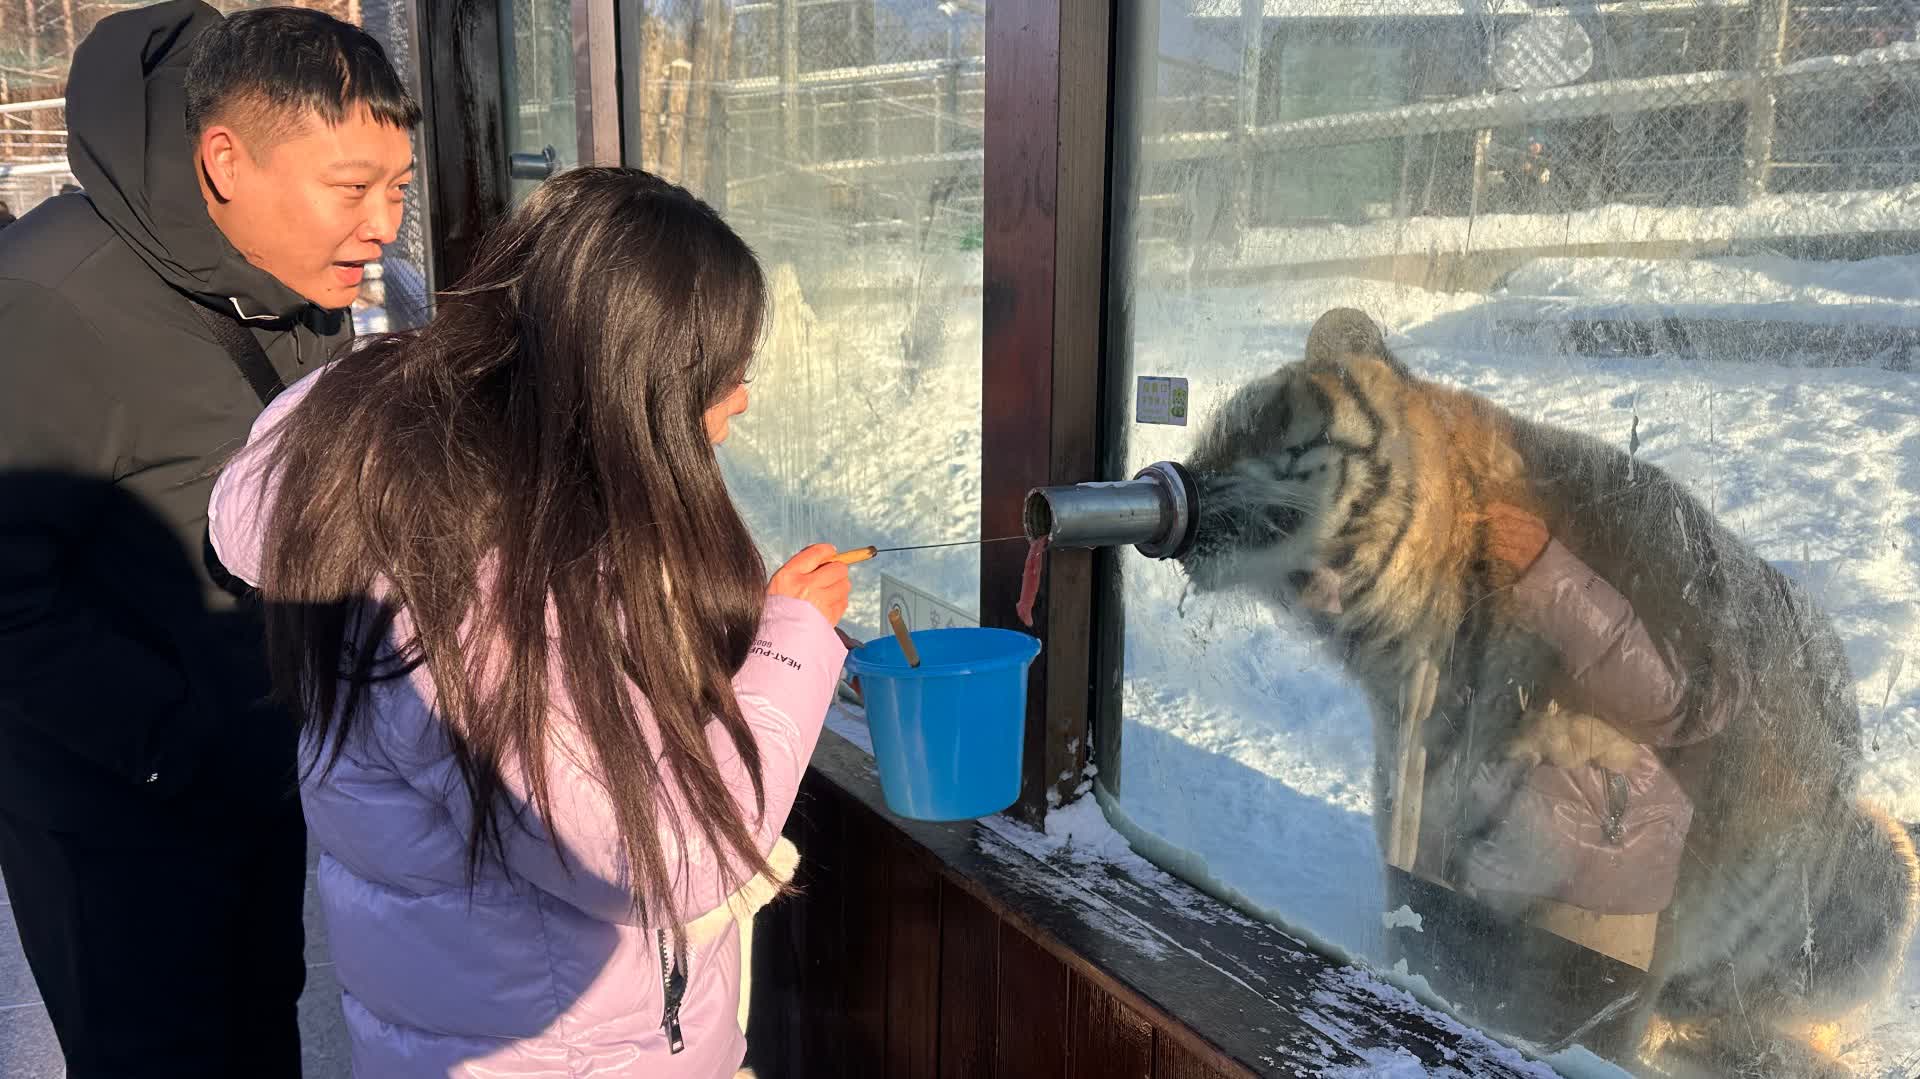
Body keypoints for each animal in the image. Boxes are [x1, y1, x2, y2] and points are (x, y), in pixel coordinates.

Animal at [1175, 307, 1920, 1076]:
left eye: (1263, 427)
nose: (1168, 475)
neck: (1406, 648)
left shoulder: (1603, 923)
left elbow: (1575, 1020)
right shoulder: (1429, 872)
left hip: (1877, 866)